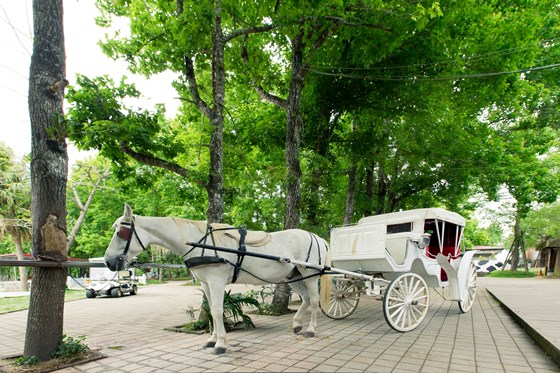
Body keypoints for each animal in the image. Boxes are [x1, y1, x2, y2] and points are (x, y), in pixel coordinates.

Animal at [105, 205, 328, 354]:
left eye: (122, 232)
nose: (108, 261)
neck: (200, 243)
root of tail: (317, 237)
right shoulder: (206, 284)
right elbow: (211, 310)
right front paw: (212, 340)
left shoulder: (217, 282)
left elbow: (219, 311)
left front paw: (221, 344)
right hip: (294, 275)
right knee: (306, 299)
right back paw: (297, 324)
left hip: (309, 274)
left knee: (314, 300)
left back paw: (310, 329)